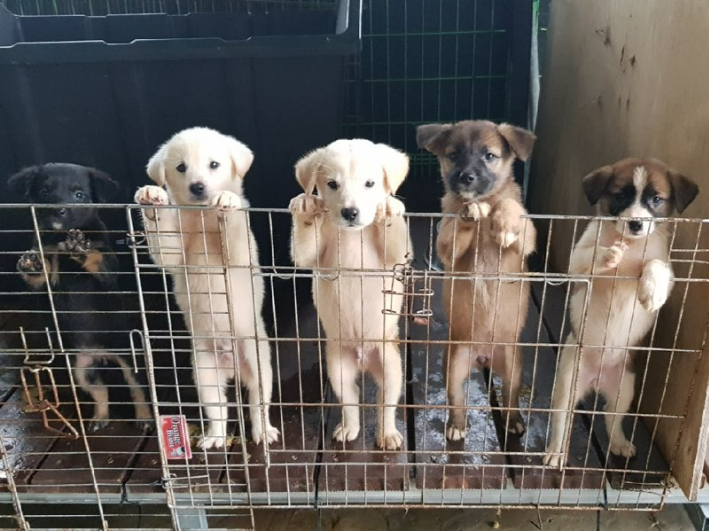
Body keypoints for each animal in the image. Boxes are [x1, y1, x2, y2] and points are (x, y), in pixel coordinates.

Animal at [8, 163, 150, 432]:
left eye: (79, 195)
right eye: (44, 192)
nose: (58, 211)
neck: (62, 238)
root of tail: (100, 354)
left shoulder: (107, 269)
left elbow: (97, 257)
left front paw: (82, 250)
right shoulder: (47, 269)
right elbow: (40, 273)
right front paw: (32, 264)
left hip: (129, 360)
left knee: (138, 390)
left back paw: (145, 418)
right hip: (81, 370)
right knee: (101, 392)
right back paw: (100, 417)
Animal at [135, 128, 280, 448]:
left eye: (214, 164)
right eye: (181, 168)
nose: (198, 187)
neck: (202, 218)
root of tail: (231, 364)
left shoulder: (239, 254)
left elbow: (233, 228)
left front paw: (226, 201)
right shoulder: (174, 251)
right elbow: (164, 243)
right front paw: (153, 199)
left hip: (259, 362)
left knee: (257, 404)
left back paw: (263, 432)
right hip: (203, 372)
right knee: (219, 410)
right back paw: (215, 437)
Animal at [288, 139, 412, 450]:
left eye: (370, 183)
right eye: (332, 184)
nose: (350, 213)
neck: (355, 235)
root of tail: (362, 358)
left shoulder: (396, 260)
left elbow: (395, 238)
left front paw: (389, 207)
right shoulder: (311, 255)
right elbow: (304, 246)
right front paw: (306, 206)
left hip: (391, 366)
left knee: (384, 403)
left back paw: (387, 434)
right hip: (337, 369)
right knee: (351, 400)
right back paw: (349, 429)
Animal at [418, 119, 536, 440]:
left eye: (489, 156)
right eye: (453, 155)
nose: (466, 178)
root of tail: (483, 356)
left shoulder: (527, 241)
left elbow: (511, 207)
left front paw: (504, 219)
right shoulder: (447, 249)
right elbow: (456, 225)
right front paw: (468, 212)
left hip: (513, 365)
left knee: (510, 395)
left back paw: (515, 421)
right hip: (454, 364)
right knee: (456, 398)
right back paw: (456, 426)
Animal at [544, 157, 700, 466]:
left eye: (656, 199)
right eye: (621, 196)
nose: (636, 224)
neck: (631, 246)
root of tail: (597, 379)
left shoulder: (666, 267)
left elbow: (656, 266)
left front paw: (651, 291)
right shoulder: (578, 264)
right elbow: (592, 254)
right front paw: (608, 253)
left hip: (625, 389)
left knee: (611, 418)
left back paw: (619, 443)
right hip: (567, 380)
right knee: (562, 418)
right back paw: (556, 450)